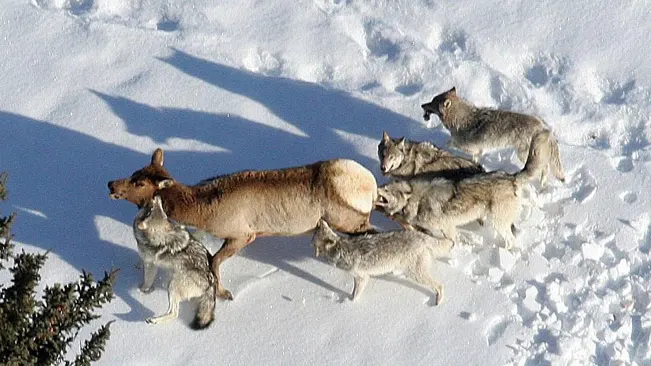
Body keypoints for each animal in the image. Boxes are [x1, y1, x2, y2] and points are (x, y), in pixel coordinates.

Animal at [109, 149, 380, 300]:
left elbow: (214, 262)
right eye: (134, 172)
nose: (111, 184)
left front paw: (224, 293)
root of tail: (370, 185)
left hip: (351, 221)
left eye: (139, 183)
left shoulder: (243, 235)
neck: (203, 209)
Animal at [132, 197, 216, 328]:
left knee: (174, 313)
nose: (157, 197)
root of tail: (211, 283)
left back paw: (153, 320)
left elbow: (147, 281)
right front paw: (137, 266)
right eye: (164, 214)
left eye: (155, 210)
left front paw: (142, 291)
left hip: (172, 286)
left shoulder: (151, 265)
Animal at [310, 219, 454, 304]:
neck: (340, 249)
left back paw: (438, 302)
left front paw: (348, 303)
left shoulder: (362, 277)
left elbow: (355, 295)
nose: (320, 220)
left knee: (439, 285)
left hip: (415, 274)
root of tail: (420, 236)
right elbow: (353, 291)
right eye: (320, 228)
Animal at [422, 86, 564, 186]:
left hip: (523, 154)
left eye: (431, 102)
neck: (461, 120)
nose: (422, 105)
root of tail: (543, 125)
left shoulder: (470, 148)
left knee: (544, 167)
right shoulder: (478, 152)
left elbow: (449, 142)